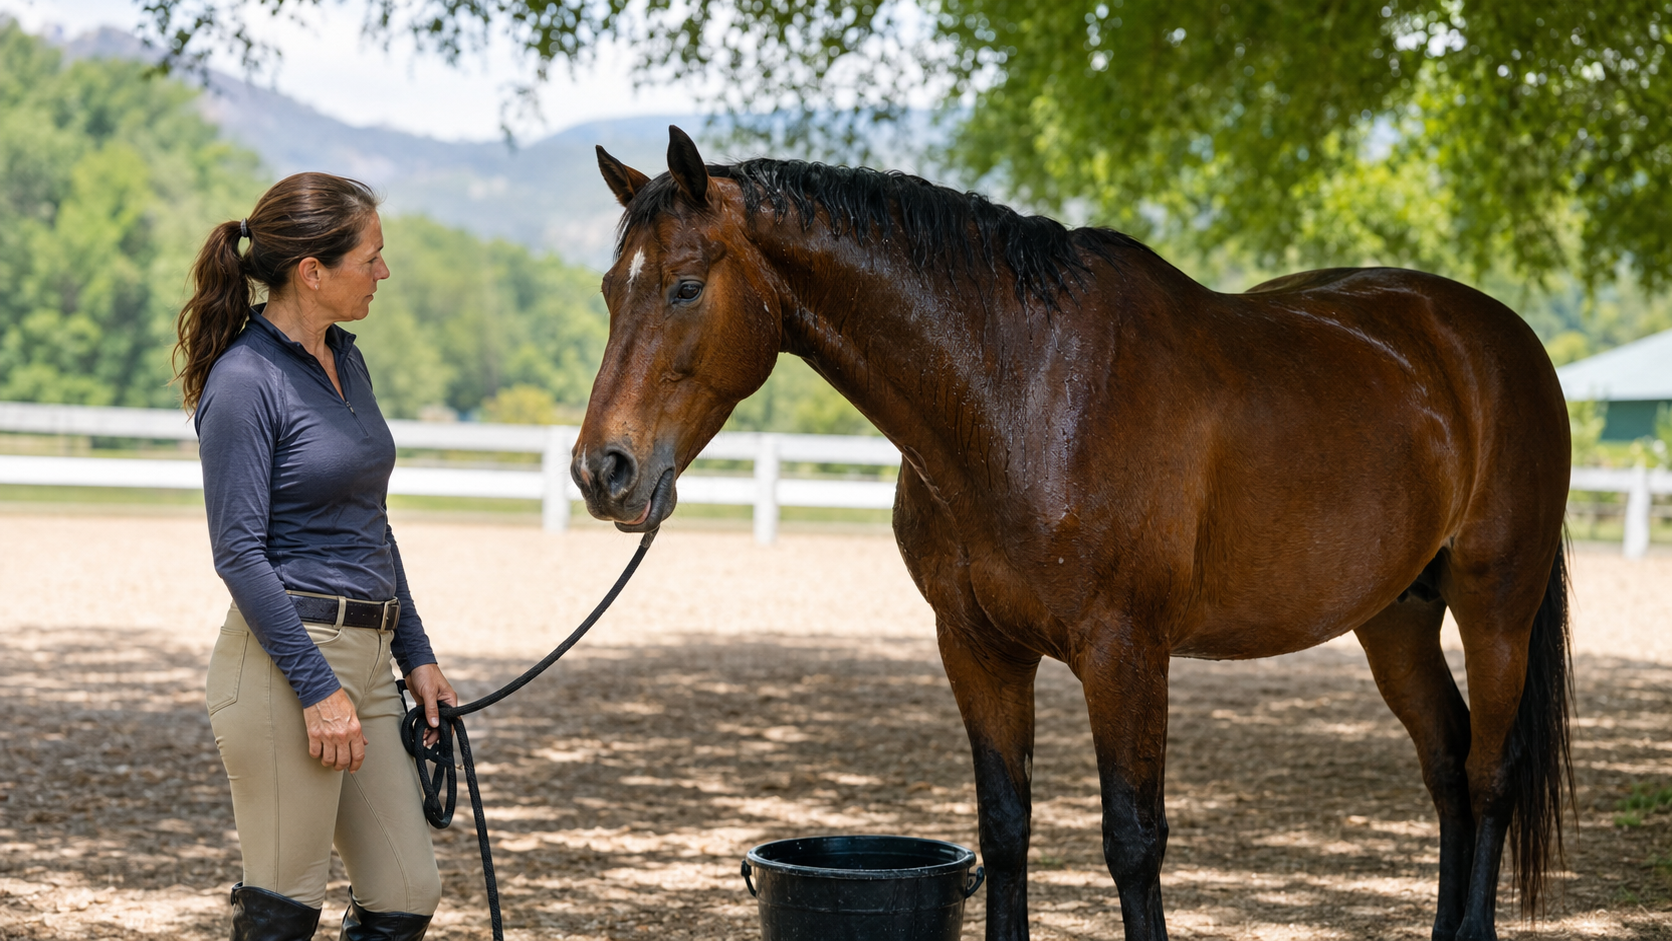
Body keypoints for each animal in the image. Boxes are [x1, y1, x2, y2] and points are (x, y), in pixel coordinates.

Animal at [570, 126, 1573, 941]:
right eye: (612, 291)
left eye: (686, 287)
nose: (603, 469)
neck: (1025, 391)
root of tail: (1495, 337)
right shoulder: (977, 647)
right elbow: (1005, 830)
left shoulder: (1123, 651)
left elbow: (1133, 839)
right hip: (1395, 615)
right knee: (1446, 765)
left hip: (1495, 607)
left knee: (1489, 771)